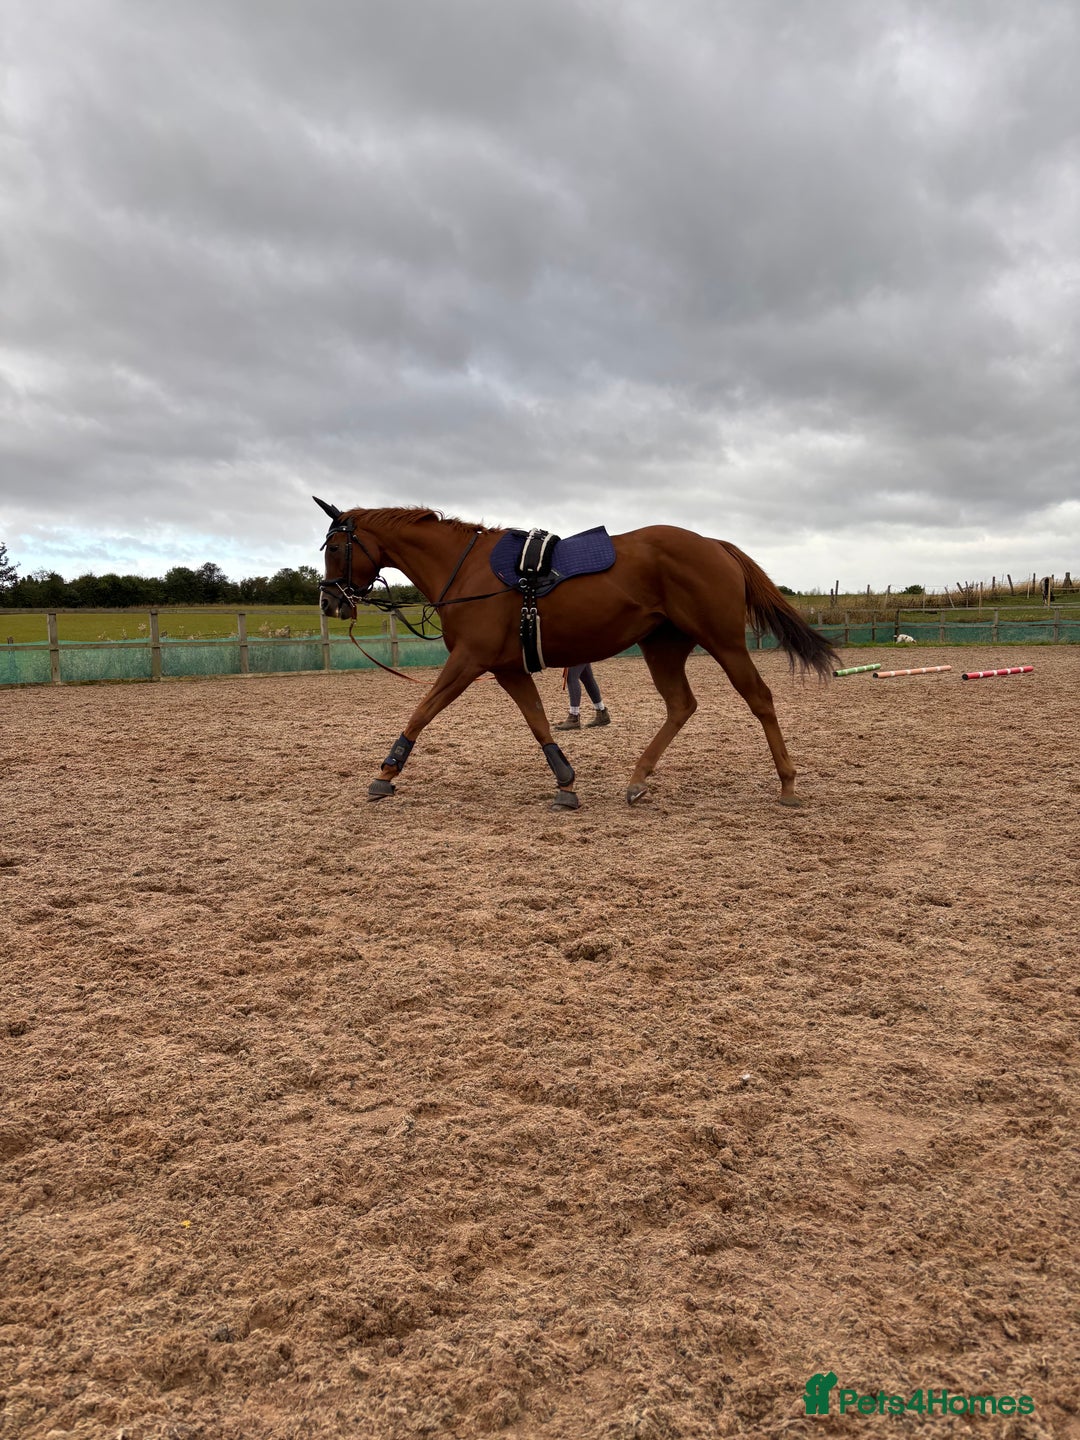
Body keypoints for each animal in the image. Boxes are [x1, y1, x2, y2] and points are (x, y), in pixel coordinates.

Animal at [314, 499, 839, 810]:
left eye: (335, 546)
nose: (330, 602)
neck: (465, 571)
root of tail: (714, 544)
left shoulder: (469, 661)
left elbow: (423, 711)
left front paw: (386, 771)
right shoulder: (507, 668)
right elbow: (538, 721)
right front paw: (565, 780)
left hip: (723, 643)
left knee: (759, 698)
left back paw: (788, 783)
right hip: (662, 647)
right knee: (681, 705)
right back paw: (638, 778)